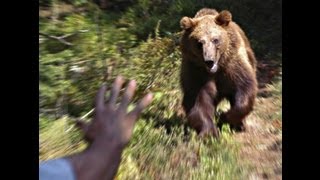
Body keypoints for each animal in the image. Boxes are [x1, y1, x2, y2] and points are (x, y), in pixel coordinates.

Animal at [180, 7, 258, 137]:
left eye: (215, 40)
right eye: (199, 42)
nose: (209, 61)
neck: (216, 70)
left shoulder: (233, 66)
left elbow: (244, 87)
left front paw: (225, 117)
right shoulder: (196, 71)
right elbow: (198, 100)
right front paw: (209, 132)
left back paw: (240, 125)